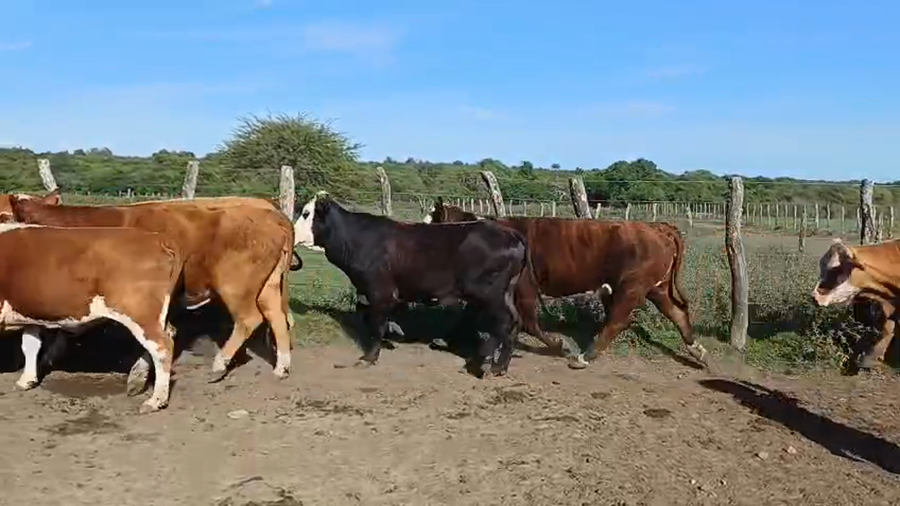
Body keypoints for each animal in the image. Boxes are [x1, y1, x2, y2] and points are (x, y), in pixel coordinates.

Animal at [0, 222, 185, 412]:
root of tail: (157, 238)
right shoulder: (30, 311)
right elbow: (30, 345)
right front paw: (27, 380)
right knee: (167, 335)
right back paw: (137, 379)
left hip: (139, 311)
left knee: (161, 347)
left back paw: (155, 400)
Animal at [8, 194, 297, 392]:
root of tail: (273, 214)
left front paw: (138, 376)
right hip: (268, 285)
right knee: (277, 317)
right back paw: (281, 366)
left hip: (234, 285)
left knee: (249, 319)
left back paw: (219, 365)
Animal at [293, 191, 536, 377]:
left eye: (306, 214)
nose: (293, 234)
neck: (359, 239)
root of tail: (511, 233)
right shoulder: (368, 292)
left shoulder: (380, 292)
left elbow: (375, 324)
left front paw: (369, 357)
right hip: (503, 294)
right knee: (514, 322)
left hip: (489, 294)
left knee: (504, 323)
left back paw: (491, 366)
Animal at [424, 198, 707, 370]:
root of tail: (657, 227)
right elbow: (468, 315)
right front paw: (445, 337)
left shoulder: (524, 289)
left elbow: (530, 323)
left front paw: (559, 346)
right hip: (656, 287)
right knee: (676, 312)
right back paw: (697, 352)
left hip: (631, 287)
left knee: (617, 321)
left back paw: (584, 356)